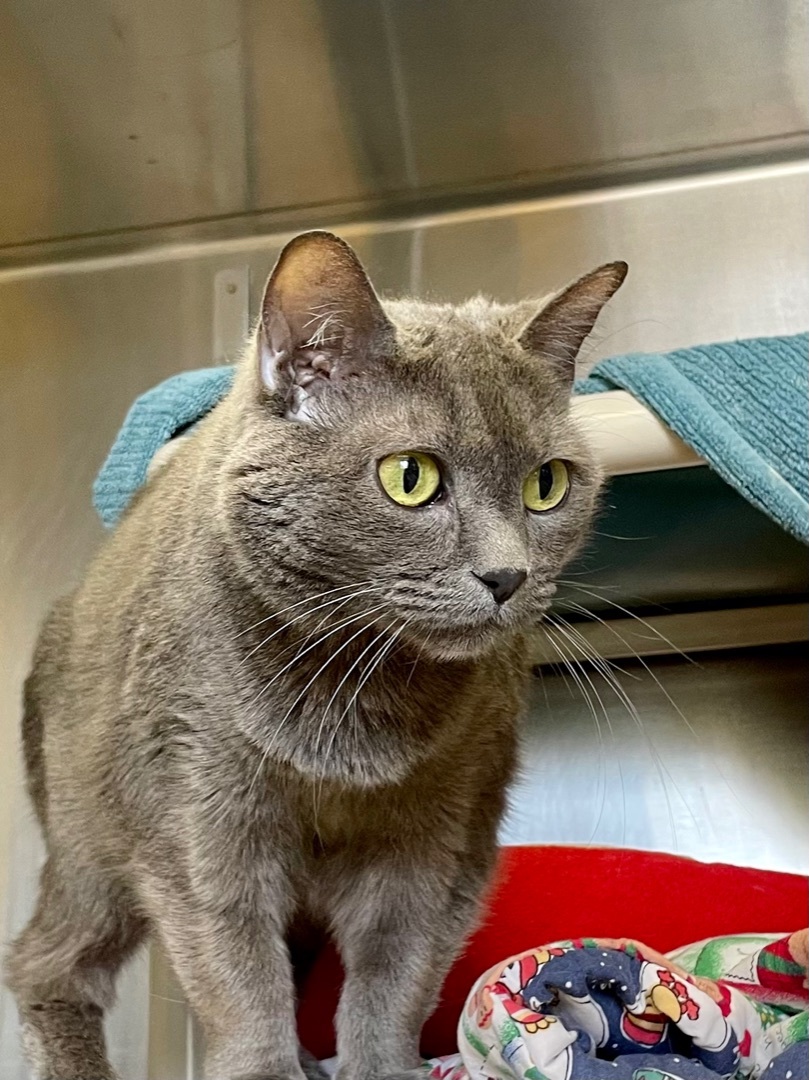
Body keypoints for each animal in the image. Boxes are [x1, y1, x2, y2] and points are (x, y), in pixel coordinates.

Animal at [3, 234, 626, 1080]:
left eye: (546, 484)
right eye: (410, 477)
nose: (507, 575)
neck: (353, 697)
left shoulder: (441, 836)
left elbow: (394, 976)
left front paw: (379, 1067)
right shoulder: (200, 826)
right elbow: (241, 981)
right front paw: (267, 1067)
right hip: (90, 838)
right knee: (43, 961)